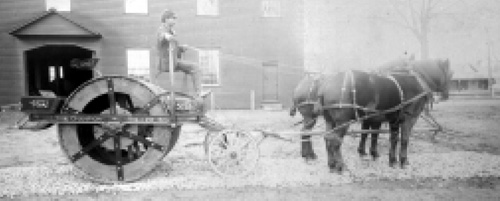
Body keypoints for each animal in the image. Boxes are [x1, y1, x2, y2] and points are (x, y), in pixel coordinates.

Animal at [288, 59, 452, 172]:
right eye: (450, 75)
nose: (446, 95)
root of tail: (325, 86)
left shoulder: (389, 119)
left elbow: (384, 137)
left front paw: (390, 159)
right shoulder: (409, 118)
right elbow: (403, 140)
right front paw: (403, 161)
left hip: (329, 120)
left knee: (324, 137)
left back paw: (328, 163)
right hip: (336, 121)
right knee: (332, 140)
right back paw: (339, 165)